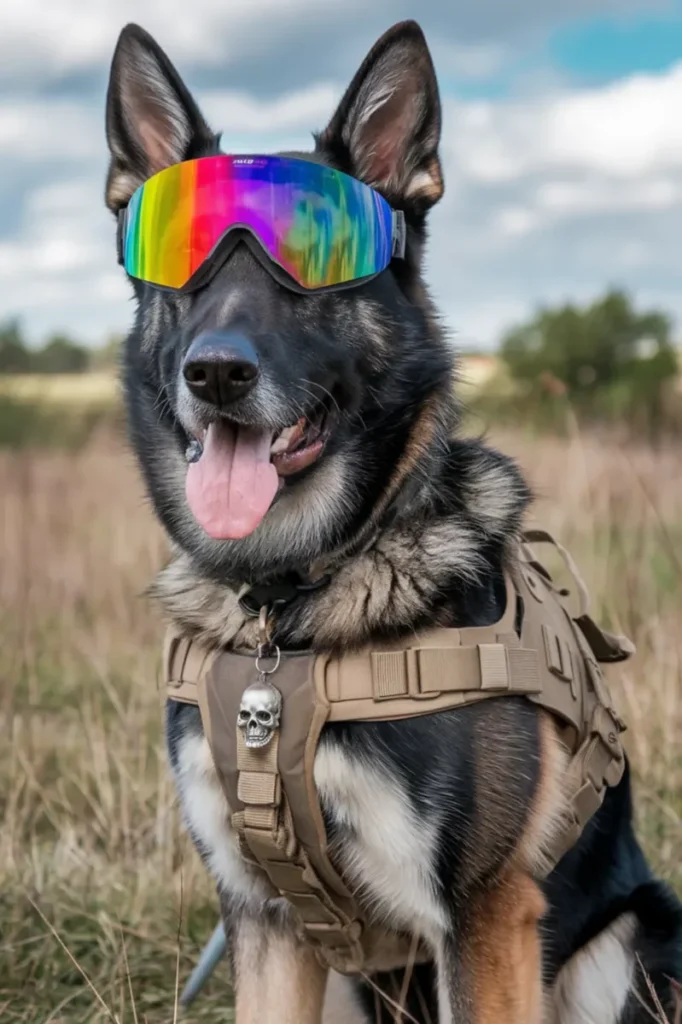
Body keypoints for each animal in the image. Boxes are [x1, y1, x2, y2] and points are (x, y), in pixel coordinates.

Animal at [104, 18, 679, 1024]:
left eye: (315, 266)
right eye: (184, 265)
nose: (215, 373)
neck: (288, 611)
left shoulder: (485, 914)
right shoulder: (264, 919)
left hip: (626, 941)